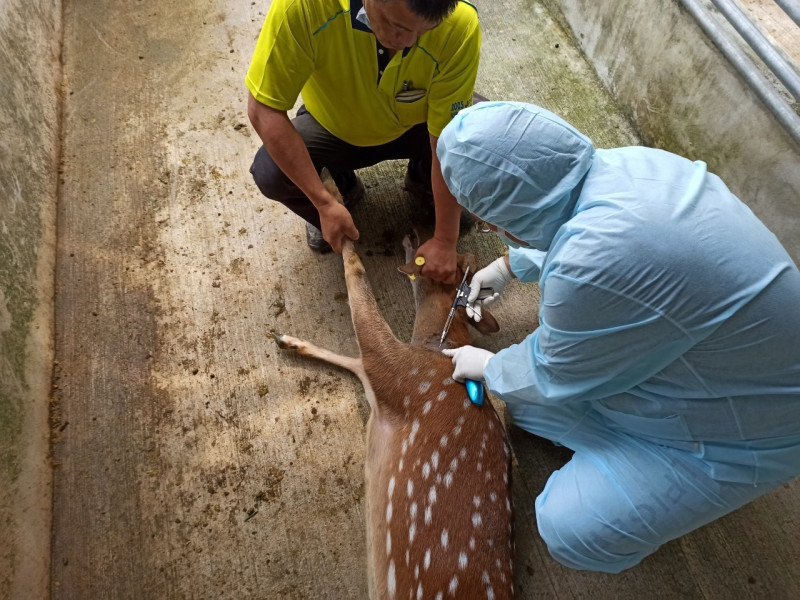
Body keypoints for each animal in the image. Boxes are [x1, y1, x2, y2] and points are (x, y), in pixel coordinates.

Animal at [274, 171, 512, 596]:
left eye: (457, 263)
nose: (417, 227)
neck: (438, 345)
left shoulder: (397, 374)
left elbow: (359, 286)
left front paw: (333, 199)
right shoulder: (377, 376)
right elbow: (352, 357)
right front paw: (288, 340)